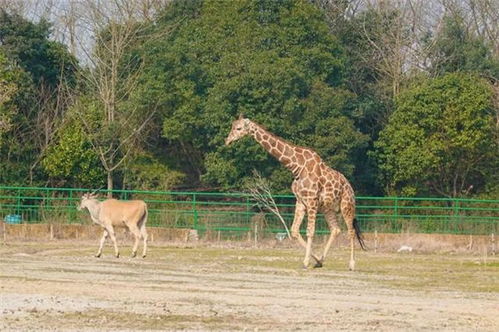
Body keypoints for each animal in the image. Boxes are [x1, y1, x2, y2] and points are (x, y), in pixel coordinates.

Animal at [225, 115, 366, 270]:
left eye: (239, 128)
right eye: (232, 126)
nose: (227, 141)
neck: (296, 167)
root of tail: (350, 188)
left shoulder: (311, 200)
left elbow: (310, 231)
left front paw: (305, 262)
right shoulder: (300, 202)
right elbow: (294, 230)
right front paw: (315, 260)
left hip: (347, 205)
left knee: (351, 231)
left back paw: (351, 264)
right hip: (327, 208)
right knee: (335, 229)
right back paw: (321, 260)